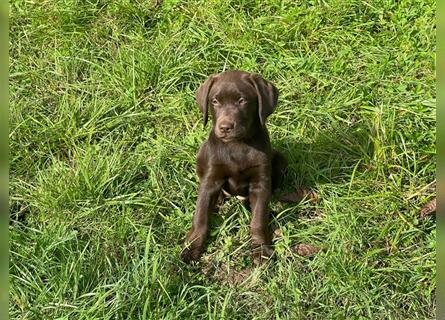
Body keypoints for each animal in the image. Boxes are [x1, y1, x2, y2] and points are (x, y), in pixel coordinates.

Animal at [181, 70, 288, 264]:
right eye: (215, 101)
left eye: (242, 100)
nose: (225, 127)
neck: (238, 145)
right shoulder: (211, 178)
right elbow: (200, 217)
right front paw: (192, 248)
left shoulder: (260, 181)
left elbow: (258, 220)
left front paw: (261, 249)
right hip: (201, 154)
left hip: (280, 160)